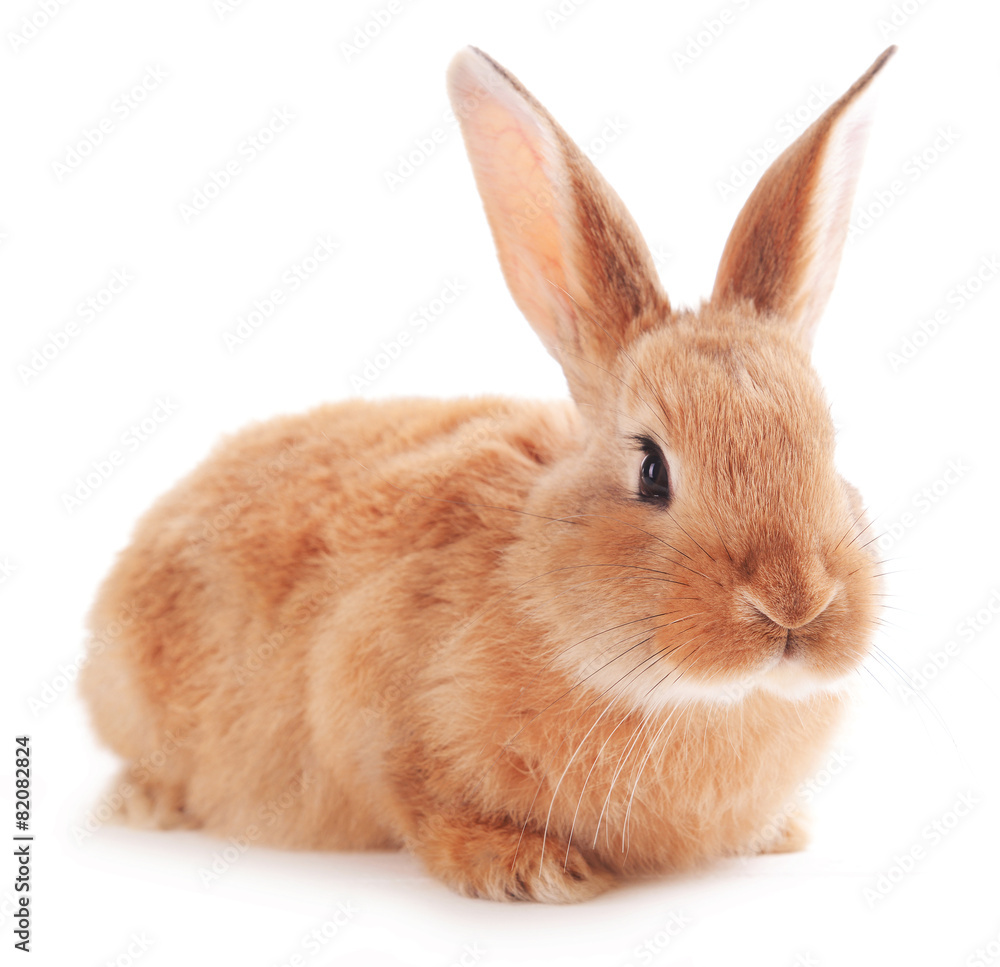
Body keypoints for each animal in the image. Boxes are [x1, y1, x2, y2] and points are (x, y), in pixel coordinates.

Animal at [80, 44, 895, 903]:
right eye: (651, 468)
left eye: (829, 448)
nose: (795, 603)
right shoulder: (368, 703)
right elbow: (423, 801)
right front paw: (530, 868)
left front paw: (780, 832)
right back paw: (146, 802)